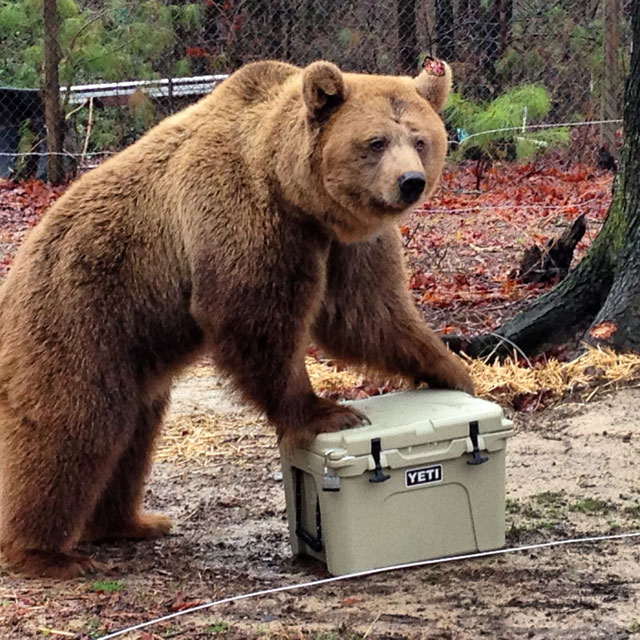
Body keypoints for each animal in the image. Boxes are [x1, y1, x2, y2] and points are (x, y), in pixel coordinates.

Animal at [0, 57, 473, 578]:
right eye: (376, 141)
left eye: (420, 139)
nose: (410, 182)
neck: (295, 192)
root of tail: (17, 271)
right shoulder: (246, 217)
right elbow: (254, 320)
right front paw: (328, 411)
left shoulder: (347, 242)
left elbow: (368, 316)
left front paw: (453, 372)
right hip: (82, 308)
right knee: (74, 421)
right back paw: (47, 553)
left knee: (133, 433)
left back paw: (132, 521)